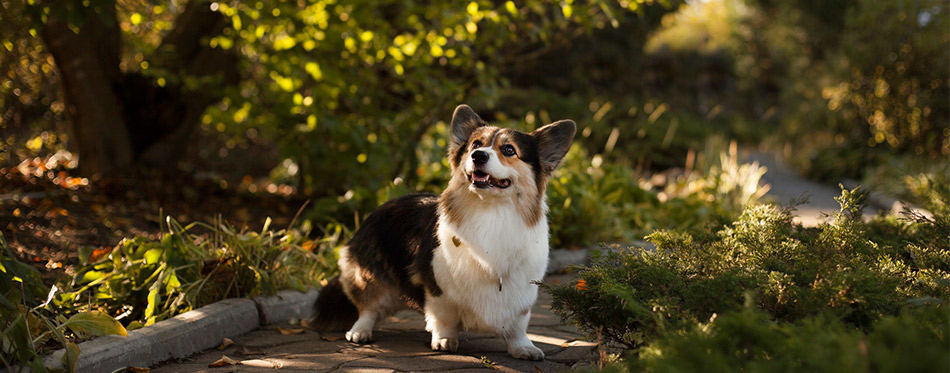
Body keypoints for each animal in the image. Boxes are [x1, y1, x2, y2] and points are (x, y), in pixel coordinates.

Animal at [316, 103, 576, 358]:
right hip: (368, 274)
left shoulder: (522, 291)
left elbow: (518, 324)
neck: (492, 212)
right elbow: (444, 317)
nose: (478, 156)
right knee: (368, 307)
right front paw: (444, 340)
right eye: (476, 144)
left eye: (509, 150)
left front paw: (523, 347)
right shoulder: (437, 286)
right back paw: (359, 332)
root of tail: (382, 205)